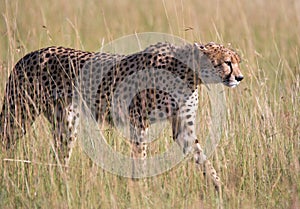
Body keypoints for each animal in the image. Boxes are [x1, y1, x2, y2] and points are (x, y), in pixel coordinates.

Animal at [0, 41, 244, 190]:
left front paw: (219, 187)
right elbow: (140, 157)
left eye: (236, 61)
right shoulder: (139, 120)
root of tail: (30, 54)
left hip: (66, 123)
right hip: (19, 115)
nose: (240, 77)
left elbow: (201, 156)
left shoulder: (182, 128)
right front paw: (141, 189)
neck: (189, 73)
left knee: (60, 158)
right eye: (227, 62)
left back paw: (64, 185)